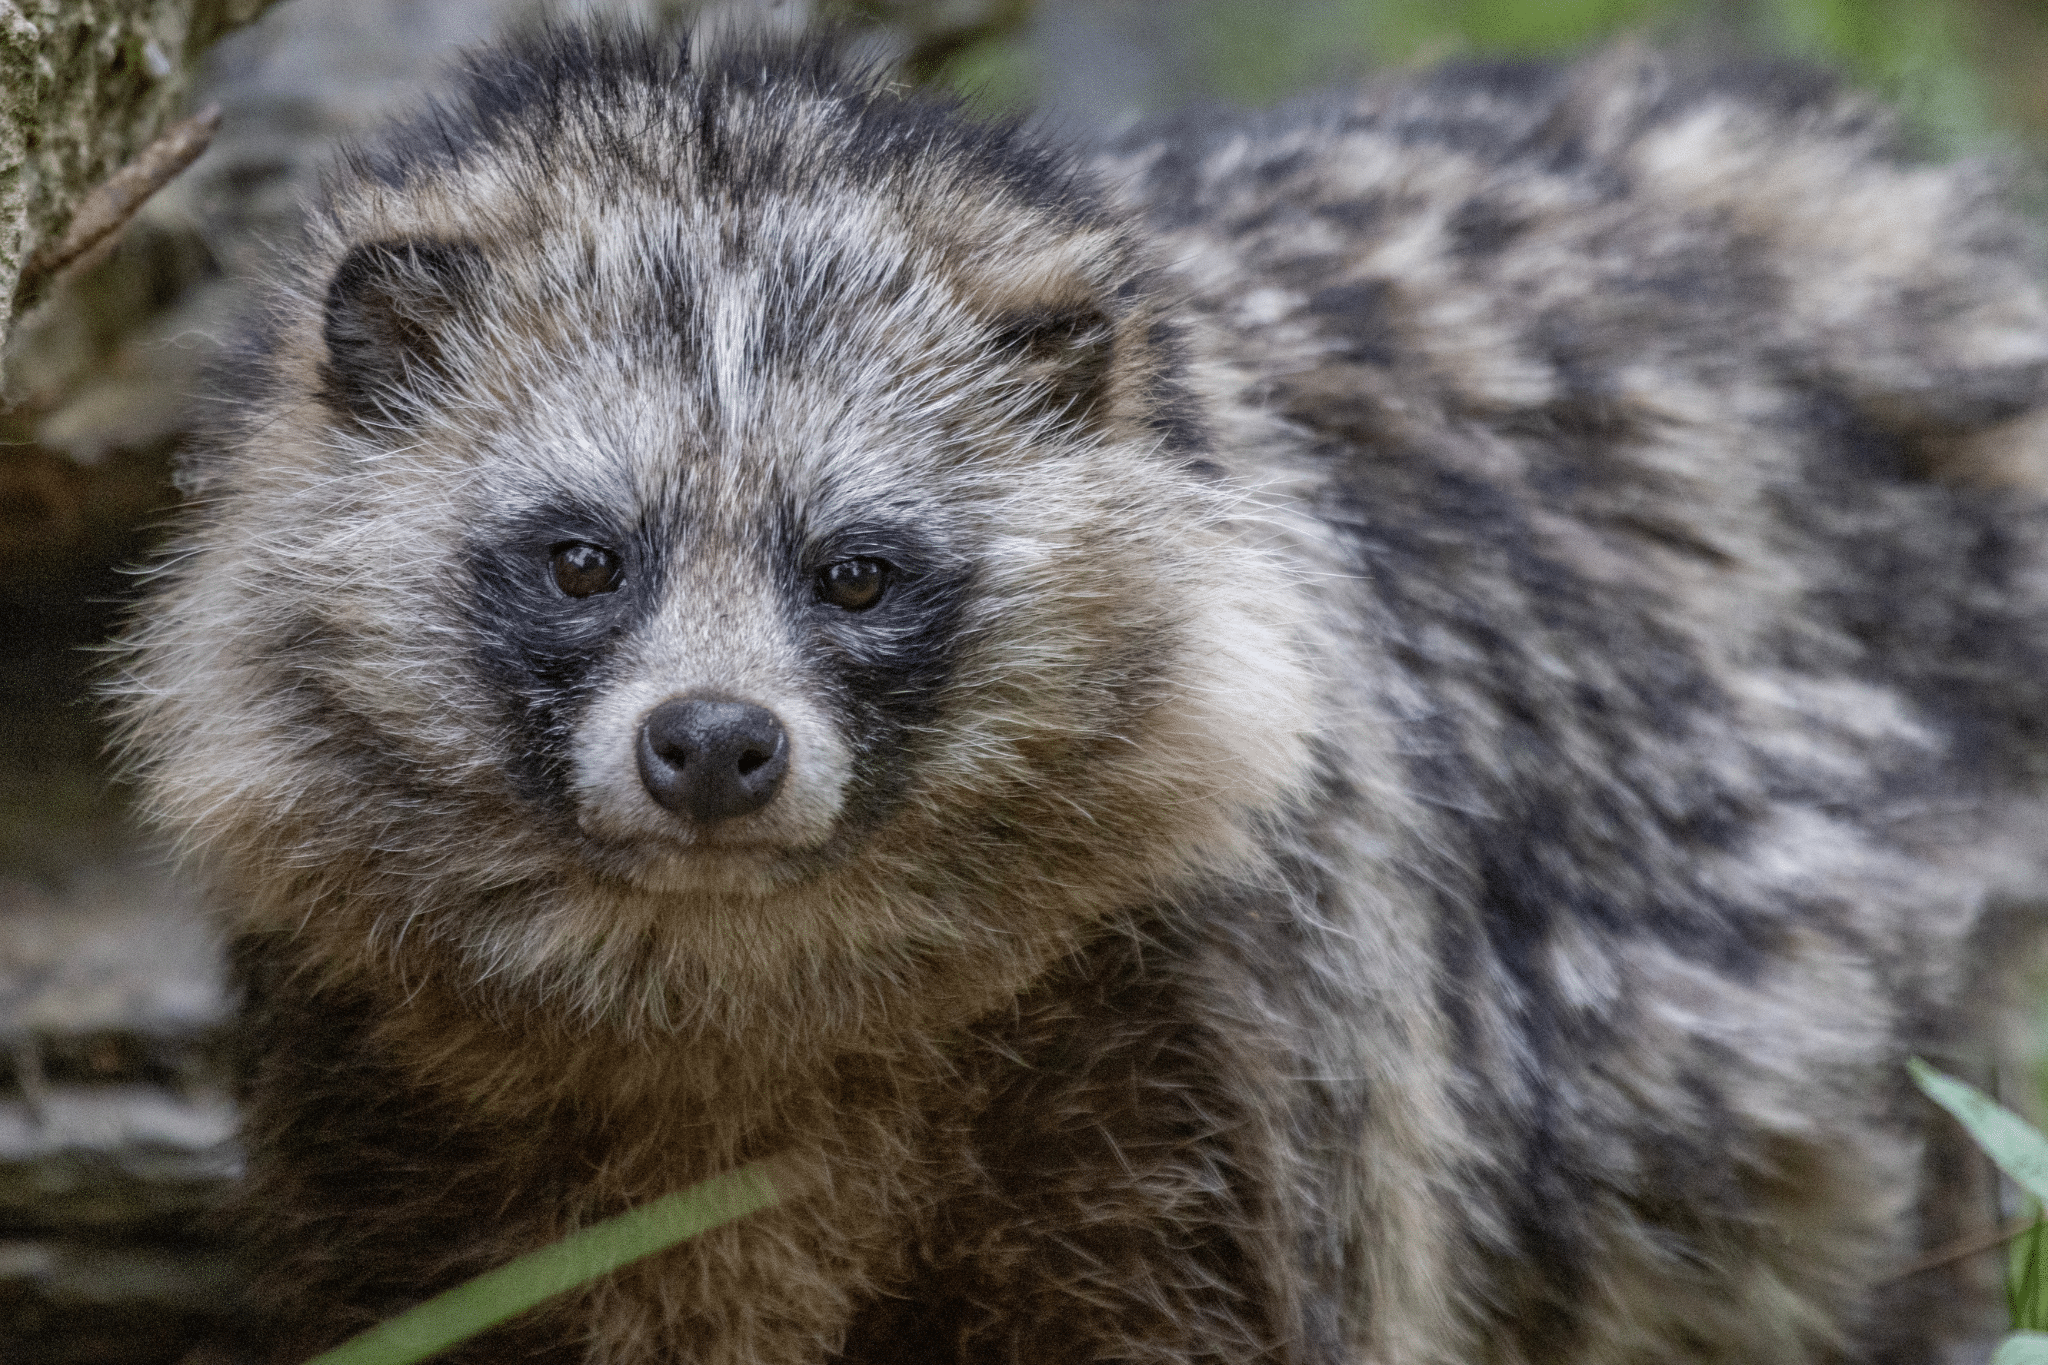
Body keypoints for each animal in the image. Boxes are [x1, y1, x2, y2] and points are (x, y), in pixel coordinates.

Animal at [114, 25, 2048, 1365]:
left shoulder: (1221, 1034)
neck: (728, 980)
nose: (715, 748)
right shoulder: (381, 1094)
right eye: (582, 560)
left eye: (858, 573)